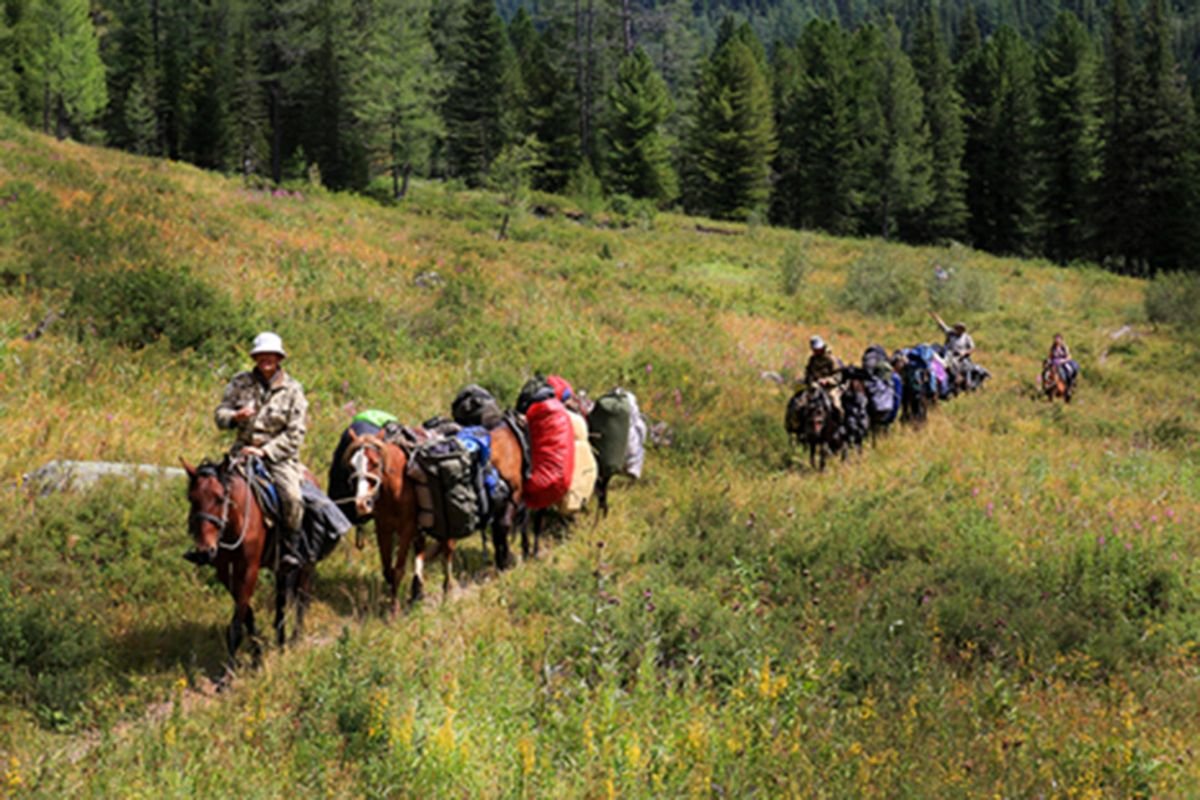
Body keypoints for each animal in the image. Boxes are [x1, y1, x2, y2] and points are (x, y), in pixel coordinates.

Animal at [182, 453, 314, 671]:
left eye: (220, 498)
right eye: (192, 499)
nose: (204, 551)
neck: (236, 521)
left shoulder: (249, 568)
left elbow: (237, 623)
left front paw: (228, 672)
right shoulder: (224, 571)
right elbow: (246, 613)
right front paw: (257, 655)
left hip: (305, 565)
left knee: (302, 598)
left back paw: (295, 639)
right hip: (279, 567)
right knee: (281, 602)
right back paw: (281, 641)